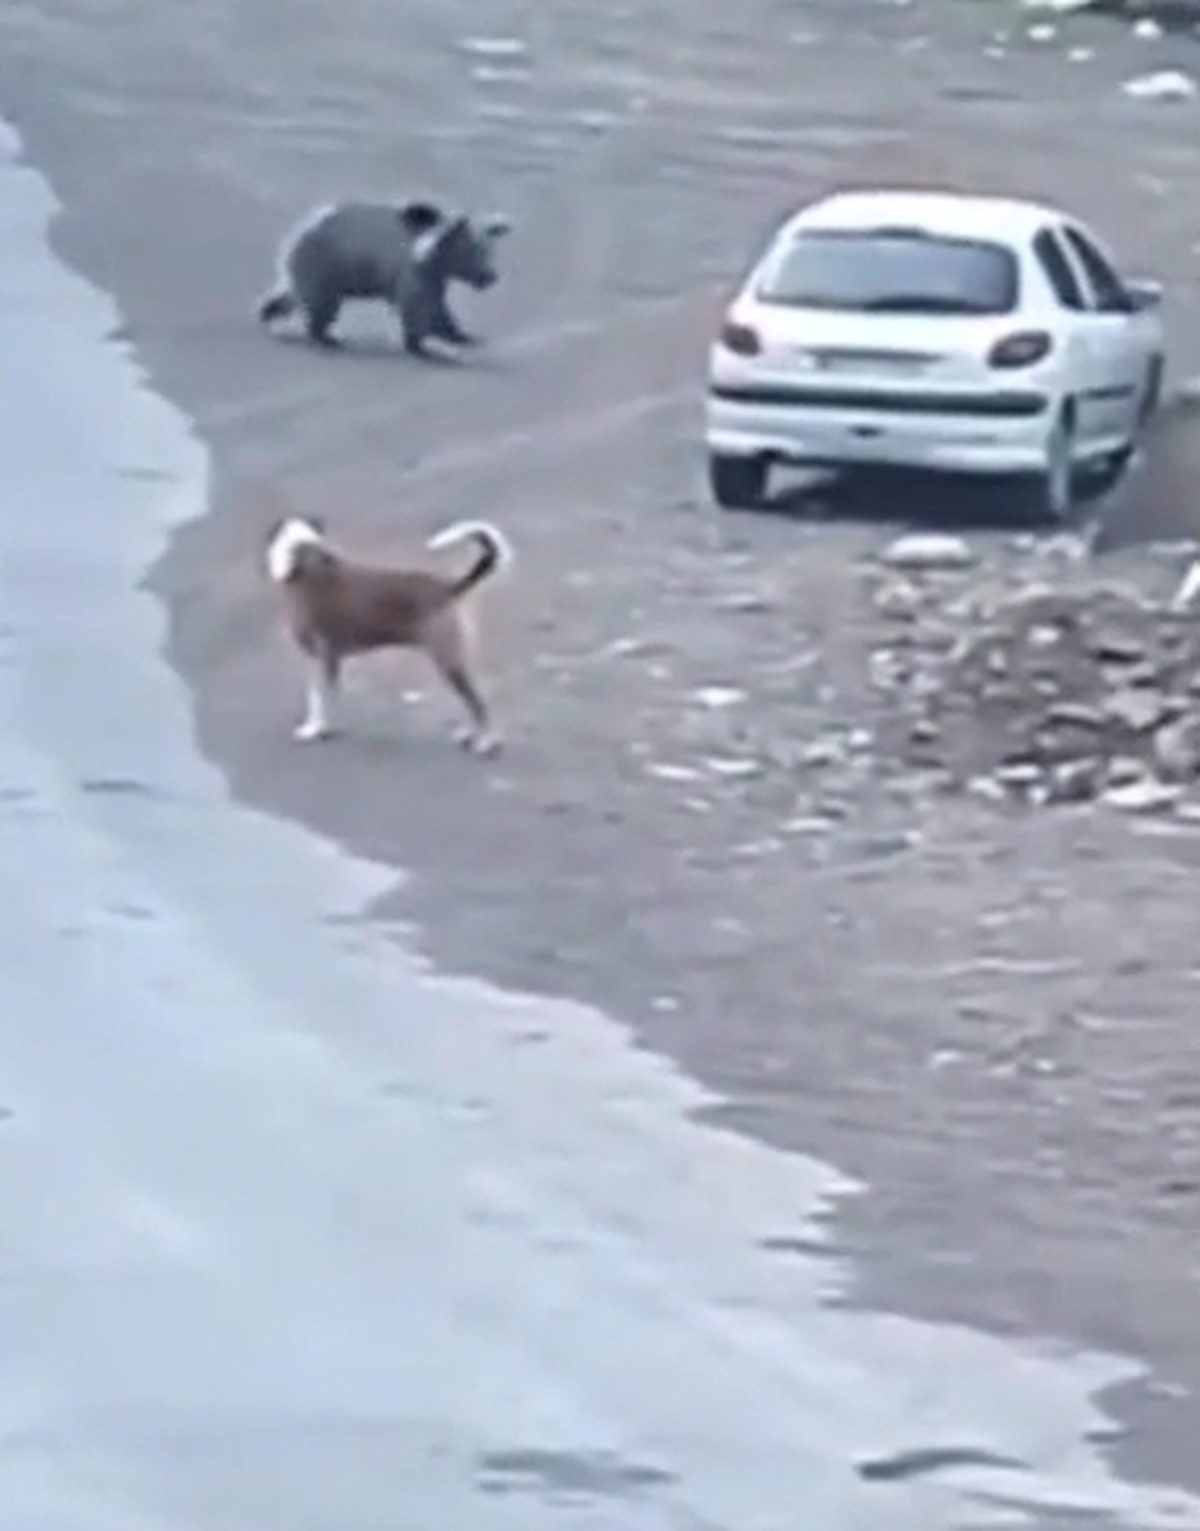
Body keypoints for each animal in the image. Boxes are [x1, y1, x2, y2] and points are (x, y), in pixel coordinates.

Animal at [267, 514, 511, 753]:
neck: (305, 563)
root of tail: (449, 588)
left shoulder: (322, 658)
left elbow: (316, 698)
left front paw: (313, 729)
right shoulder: (331, 660)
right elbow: (326, 696)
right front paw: (323, 728)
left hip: (448, 661)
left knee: (477, 703)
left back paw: (486, 743)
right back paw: (471, 735)